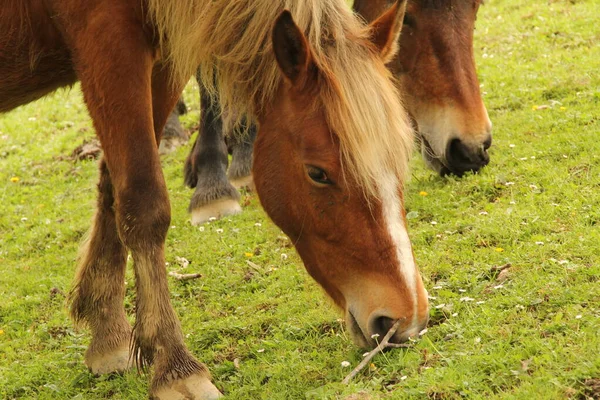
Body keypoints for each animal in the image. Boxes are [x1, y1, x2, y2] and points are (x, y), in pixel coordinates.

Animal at [2, 0, 428, 396]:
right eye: (318, 173)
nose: (404, 320)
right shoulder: (106, 41)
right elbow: (143, 201)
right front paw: (175, 366)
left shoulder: (162, 56)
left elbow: (113, 188)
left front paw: (107, 331)